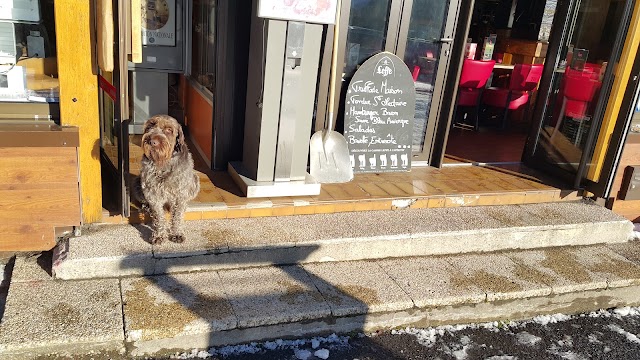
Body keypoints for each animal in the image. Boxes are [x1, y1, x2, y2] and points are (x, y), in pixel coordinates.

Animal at [132, 115, 198, 245]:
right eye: (150, 126)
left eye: (169, 130)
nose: (152, 141)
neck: (164, 163)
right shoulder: (152, 193)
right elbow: (159, 216)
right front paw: (159, 235)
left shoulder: (180, 194)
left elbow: (177, 216)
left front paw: (176, 233)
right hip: (137, 183)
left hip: (194, 181)